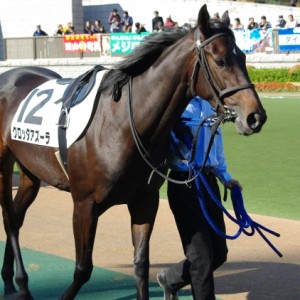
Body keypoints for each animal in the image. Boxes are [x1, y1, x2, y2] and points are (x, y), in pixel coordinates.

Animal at [0, 5, 268, 300]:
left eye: (243, 56)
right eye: (220, 61)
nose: (255, 116)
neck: (124, 124)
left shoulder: (144, 201)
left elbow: (141, 263)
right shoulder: (84, 204)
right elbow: (83, 268)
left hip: (29, 171)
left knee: (17, 217)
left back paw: (13, 281)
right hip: (4, 165)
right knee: (10, 221)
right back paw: (20, 282)